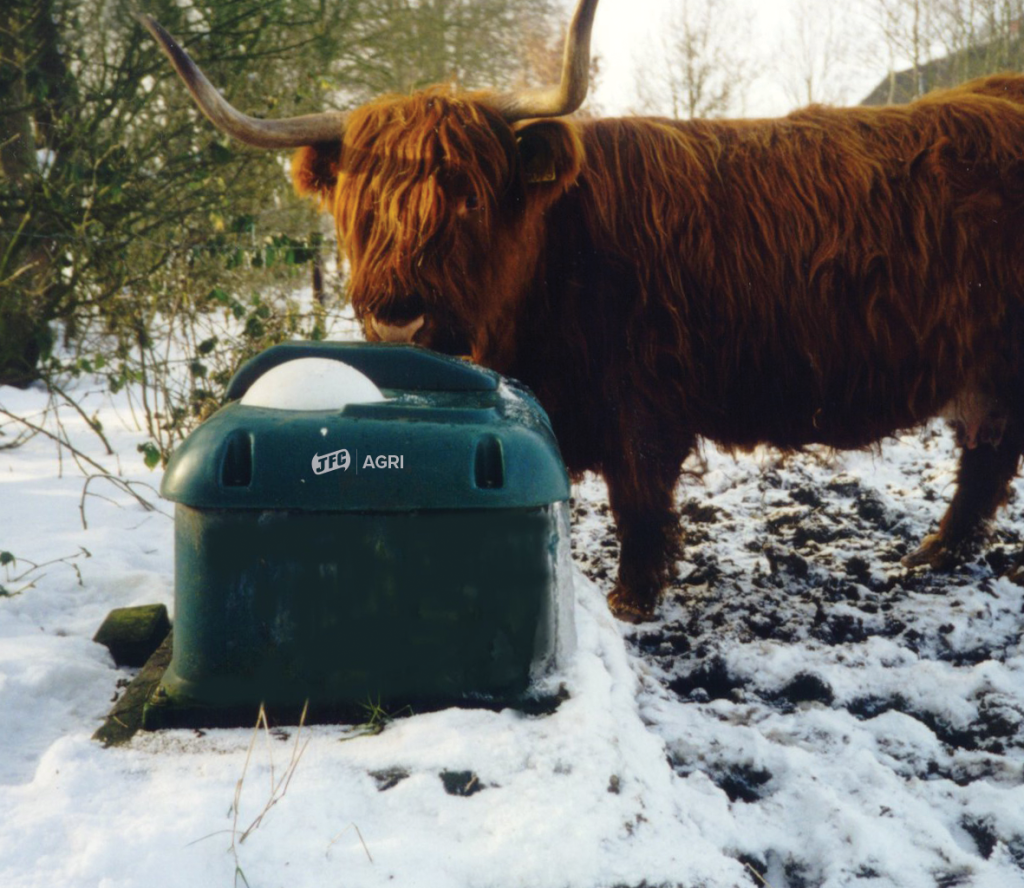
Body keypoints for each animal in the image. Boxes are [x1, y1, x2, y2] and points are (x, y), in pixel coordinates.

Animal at [142, 0, 1024, 622]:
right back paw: (937, 554)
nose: (400, 322)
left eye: (467, 199)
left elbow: (639, 503)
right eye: (359, 209)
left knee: (987, 455)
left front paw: (632, 600)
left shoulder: (642, 404)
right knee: (986, 455)